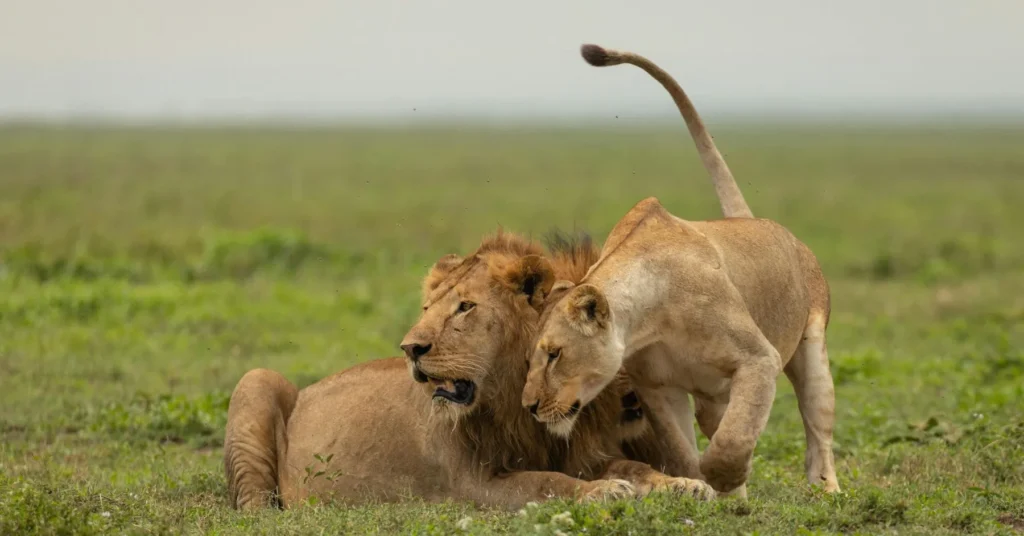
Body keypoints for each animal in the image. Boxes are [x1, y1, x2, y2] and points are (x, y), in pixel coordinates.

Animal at [224, 231, 714, 511]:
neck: (515, 398)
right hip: (256, 380)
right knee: (253, 501)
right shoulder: (471, 483)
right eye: (428, 309)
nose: (410, 348)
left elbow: (634, 466)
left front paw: (683, 485)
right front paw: (602, 492)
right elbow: (544, 482)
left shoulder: (582, 454)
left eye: (465, 307)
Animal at [519, 43, 841, 497]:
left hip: (810, 352)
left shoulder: (759, 359)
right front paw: (698, 488)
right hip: (711, 397)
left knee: (817, 429)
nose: (529, 407)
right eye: (531, 357)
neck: (651, 319)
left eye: (554, 354)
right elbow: (681, 449)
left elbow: (734, 438)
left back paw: (825, 489)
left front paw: (724, 477)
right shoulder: (658, 389)